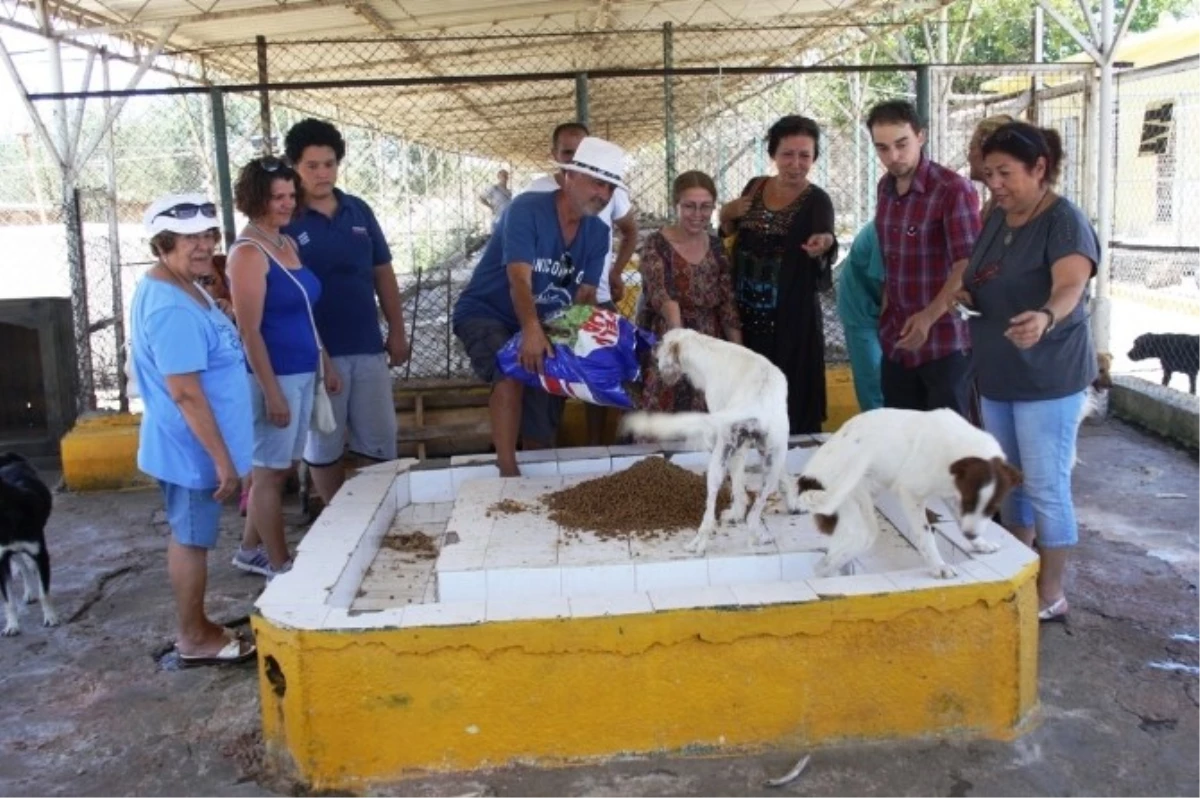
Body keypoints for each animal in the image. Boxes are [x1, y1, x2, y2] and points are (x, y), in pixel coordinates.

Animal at [0, 453, 58, 633]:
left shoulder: (41, 555)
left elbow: (44, 594)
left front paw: (50, 618)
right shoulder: (1, 559)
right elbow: (8, 601)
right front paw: (12, 625)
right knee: (23, 567)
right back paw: (29, 591)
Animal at [619, 326, 796, 552]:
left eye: (663, 340)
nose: (653, 347)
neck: (707, 348)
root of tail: (757, 402)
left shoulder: (733, 444)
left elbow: (737, 483)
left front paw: (736, 512)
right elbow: (776, 476)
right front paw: (792, 501)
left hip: (719, 459)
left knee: (710, 510)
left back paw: (699, 542)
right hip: (770, 465)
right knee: (755, 514)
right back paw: (758, 534)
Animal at [796, 408, 1022, 576]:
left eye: (992, 509)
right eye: (968, 502)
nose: (971, 534)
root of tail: (807, 479)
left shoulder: (952, 495)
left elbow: (961, 522)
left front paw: (980, 543)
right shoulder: (911, 493)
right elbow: (925, 536)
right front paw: (938, 566)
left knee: (827, 560)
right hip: (858, 515)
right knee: (822, 566)